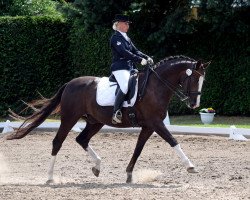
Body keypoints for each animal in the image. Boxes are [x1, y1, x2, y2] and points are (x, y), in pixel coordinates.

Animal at [5, 55, 210, 184]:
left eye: (202, 81)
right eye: (194, 79)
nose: (194, 104)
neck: (155, 86)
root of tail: (70, 83)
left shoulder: (149, 126)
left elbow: (138, 149)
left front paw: (129, 175)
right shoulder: (156, 124)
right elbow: (173, 141)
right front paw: (190, 166)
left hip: (95, 121)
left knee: (82, 139)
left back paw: (97, 166)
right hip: (70, 118)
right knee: (58, 142)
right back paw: (49, 177)